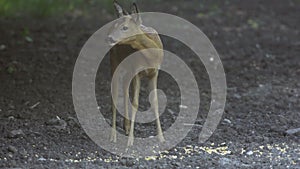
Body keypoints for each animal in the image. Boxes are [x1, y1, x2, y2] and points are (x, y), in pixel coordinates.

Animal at [106, 0, 165, 147]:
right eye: (116, 26)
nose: (109, 38)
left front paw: (161, 138)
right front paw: (130, 141)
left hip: (128, 70)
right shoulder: (137, 72)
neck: (151, 55)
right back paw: (113, 136)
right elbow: (136, 103)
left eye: (125, 28)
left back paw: (126, 127)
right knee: (114, 96)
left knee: (125, 89)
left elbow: (155, 101)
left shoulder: (155, 73)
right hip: (114, 63)